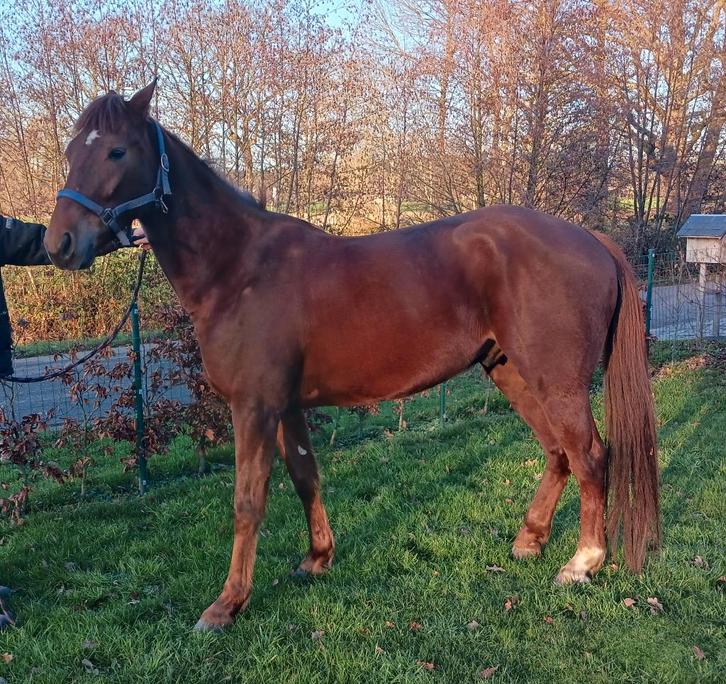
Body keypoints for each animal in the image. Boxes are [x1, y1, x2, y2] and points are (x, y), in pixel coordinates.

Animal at [44, 81, 659, 631]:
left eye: (117, 150)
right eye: (72, 151)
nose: (59, 245)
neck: (240, 269)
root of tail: (590, 239)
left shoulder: (254, 407)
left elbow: (248, 502)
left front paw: (226, 606)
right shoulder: (286, 406)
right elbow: (305, 476)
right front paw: (317, 559)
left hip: (558, 383)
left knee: (590, 456)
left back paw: (582, 563)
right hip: (510, 372)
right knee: (557, 453)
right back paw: (528, 541)